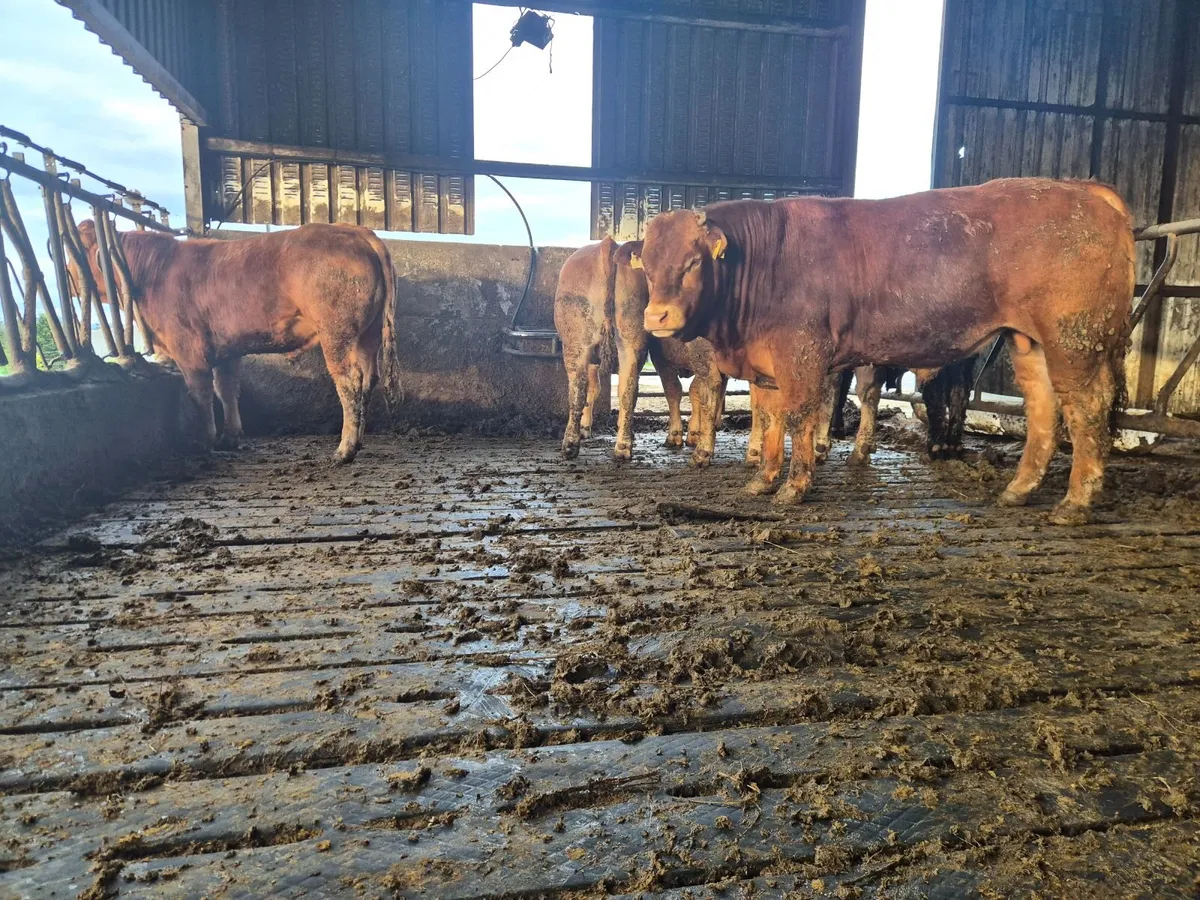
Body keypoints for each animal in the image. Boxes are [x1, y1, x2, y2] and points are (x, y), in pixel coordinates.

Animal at [76, 221, 398, 464]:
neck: (154, 275)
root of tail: (354, 230)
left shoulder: (187, 349)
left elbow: (201, 394)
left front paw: (204, 441)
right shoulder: (225, 350)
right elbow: (226, 389)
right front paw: (229, 437)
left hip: (336, 330)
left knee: (348, 381)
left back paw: (344, 450)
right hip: (368, 333)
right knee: (369, 377)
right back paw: (357, 442)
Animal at [553, 237, 729, 465]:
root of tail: (607, 245)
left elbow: (593, 388)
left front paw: (585, 427)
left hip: (577, 343)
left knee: (578, 388)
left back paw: (570, 444)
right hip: (629, 339)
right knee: (628, 390)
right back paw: (624, 446)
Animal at [635, 178, 1134, 525]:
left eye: (693, 262)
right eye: (649, 265)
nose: (656, 317)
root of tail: (1082, 189)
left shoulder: (803, 357)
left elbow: (798, 417)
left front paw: (795, 486)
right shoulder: (768, 366)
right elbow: (770, 417)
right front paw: (762, 480)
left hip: (1074, 340)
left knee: (1086, 409)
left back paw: (1075, 502)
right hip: (1028, 342)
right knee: (1043, 407)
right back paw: (1019, 490)